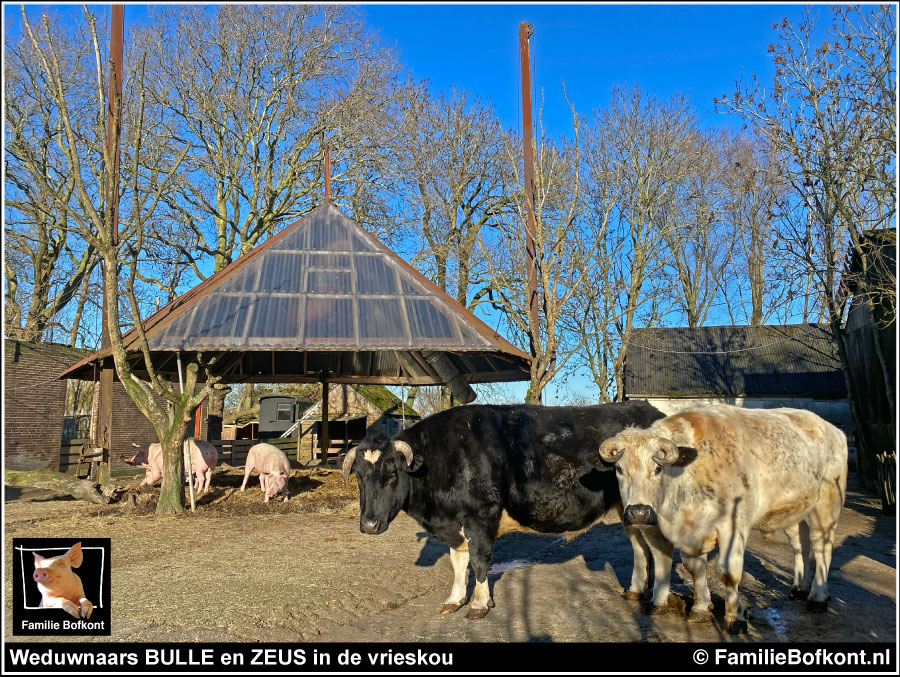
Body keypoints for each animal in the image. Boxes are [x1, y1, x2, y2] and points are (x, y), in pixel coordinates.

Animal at [342, 402, 660, 616]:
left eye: (391, 475)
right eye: (358, 477)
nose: (368, 525)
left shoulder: (481, 517)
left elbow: (480, 562)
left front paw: (480, 604)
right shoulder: (456, 522)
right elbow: (458, 562)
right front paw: (455, 600)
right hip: (629, 510)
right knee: (639, 548)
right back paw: (636, 591)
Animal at [596, 402, 844, 632]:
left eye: (658, 469)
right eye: (619, 469)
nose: (639, 512)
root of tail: (831, 428)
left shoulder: (733, 527)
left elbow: (728, 574)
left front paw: (735, 617)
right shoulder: (688, 532)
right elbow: (694, 568)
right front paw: (701, 609)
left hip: (826, 504)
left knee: (822, 548)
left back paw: (818, 597)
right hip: (795, 511)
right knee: (800, 545)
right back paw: (800, 588)